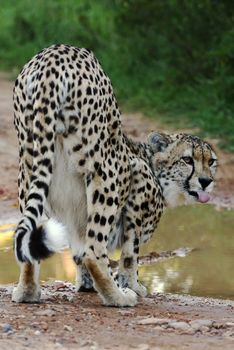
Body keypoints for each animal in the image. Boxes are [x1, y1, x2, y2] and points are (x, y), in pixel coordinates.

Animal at [11, 44, 218, 306]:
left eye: (211, 161)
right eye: (188, 160)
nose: (206, 181)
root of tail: (54, 54)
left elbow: (79, 253)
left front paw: (86, 285)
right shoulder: (137, 177)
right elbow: (130, 254)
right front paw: (133, 286)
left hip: (30, 165)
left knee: (31, 239)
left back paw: (27, 291)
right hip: (105, 170)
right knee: (93, 251)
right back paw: (118, 297)